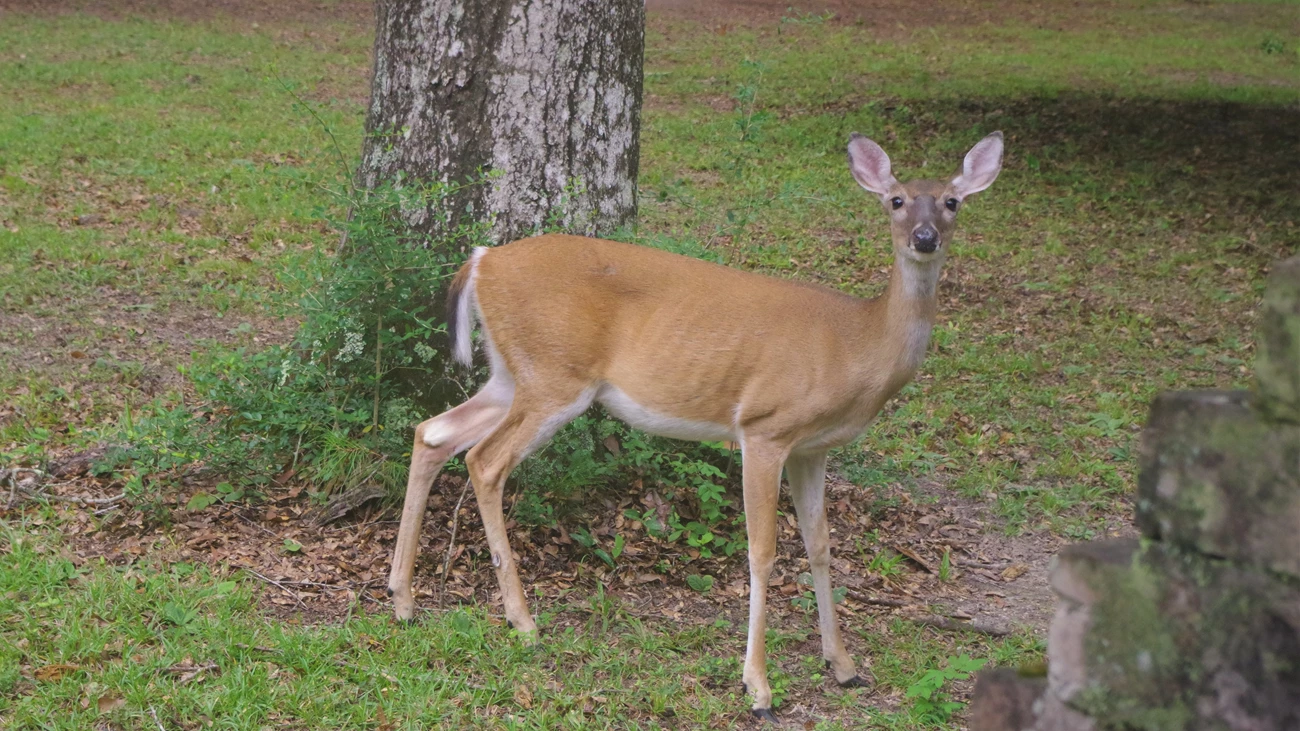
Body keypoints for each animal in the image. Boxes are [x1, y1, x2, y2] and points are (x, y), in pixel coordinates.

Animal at [386, 130, 1004, 721]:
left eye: (951, 202)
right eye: (895, 200)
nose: (924, 237)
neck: (857, 344)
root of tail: (482, 259)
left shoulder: (813, 448)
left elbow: (821, 544)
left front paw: (845, 666)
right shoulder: (764, 427)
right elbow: (762, 551)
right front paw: (758, 688)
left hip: (512, 374)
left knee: (432, 432)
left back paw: (403, 600)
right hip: (554, 376)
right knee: (484, 461)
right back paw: (522, 622)